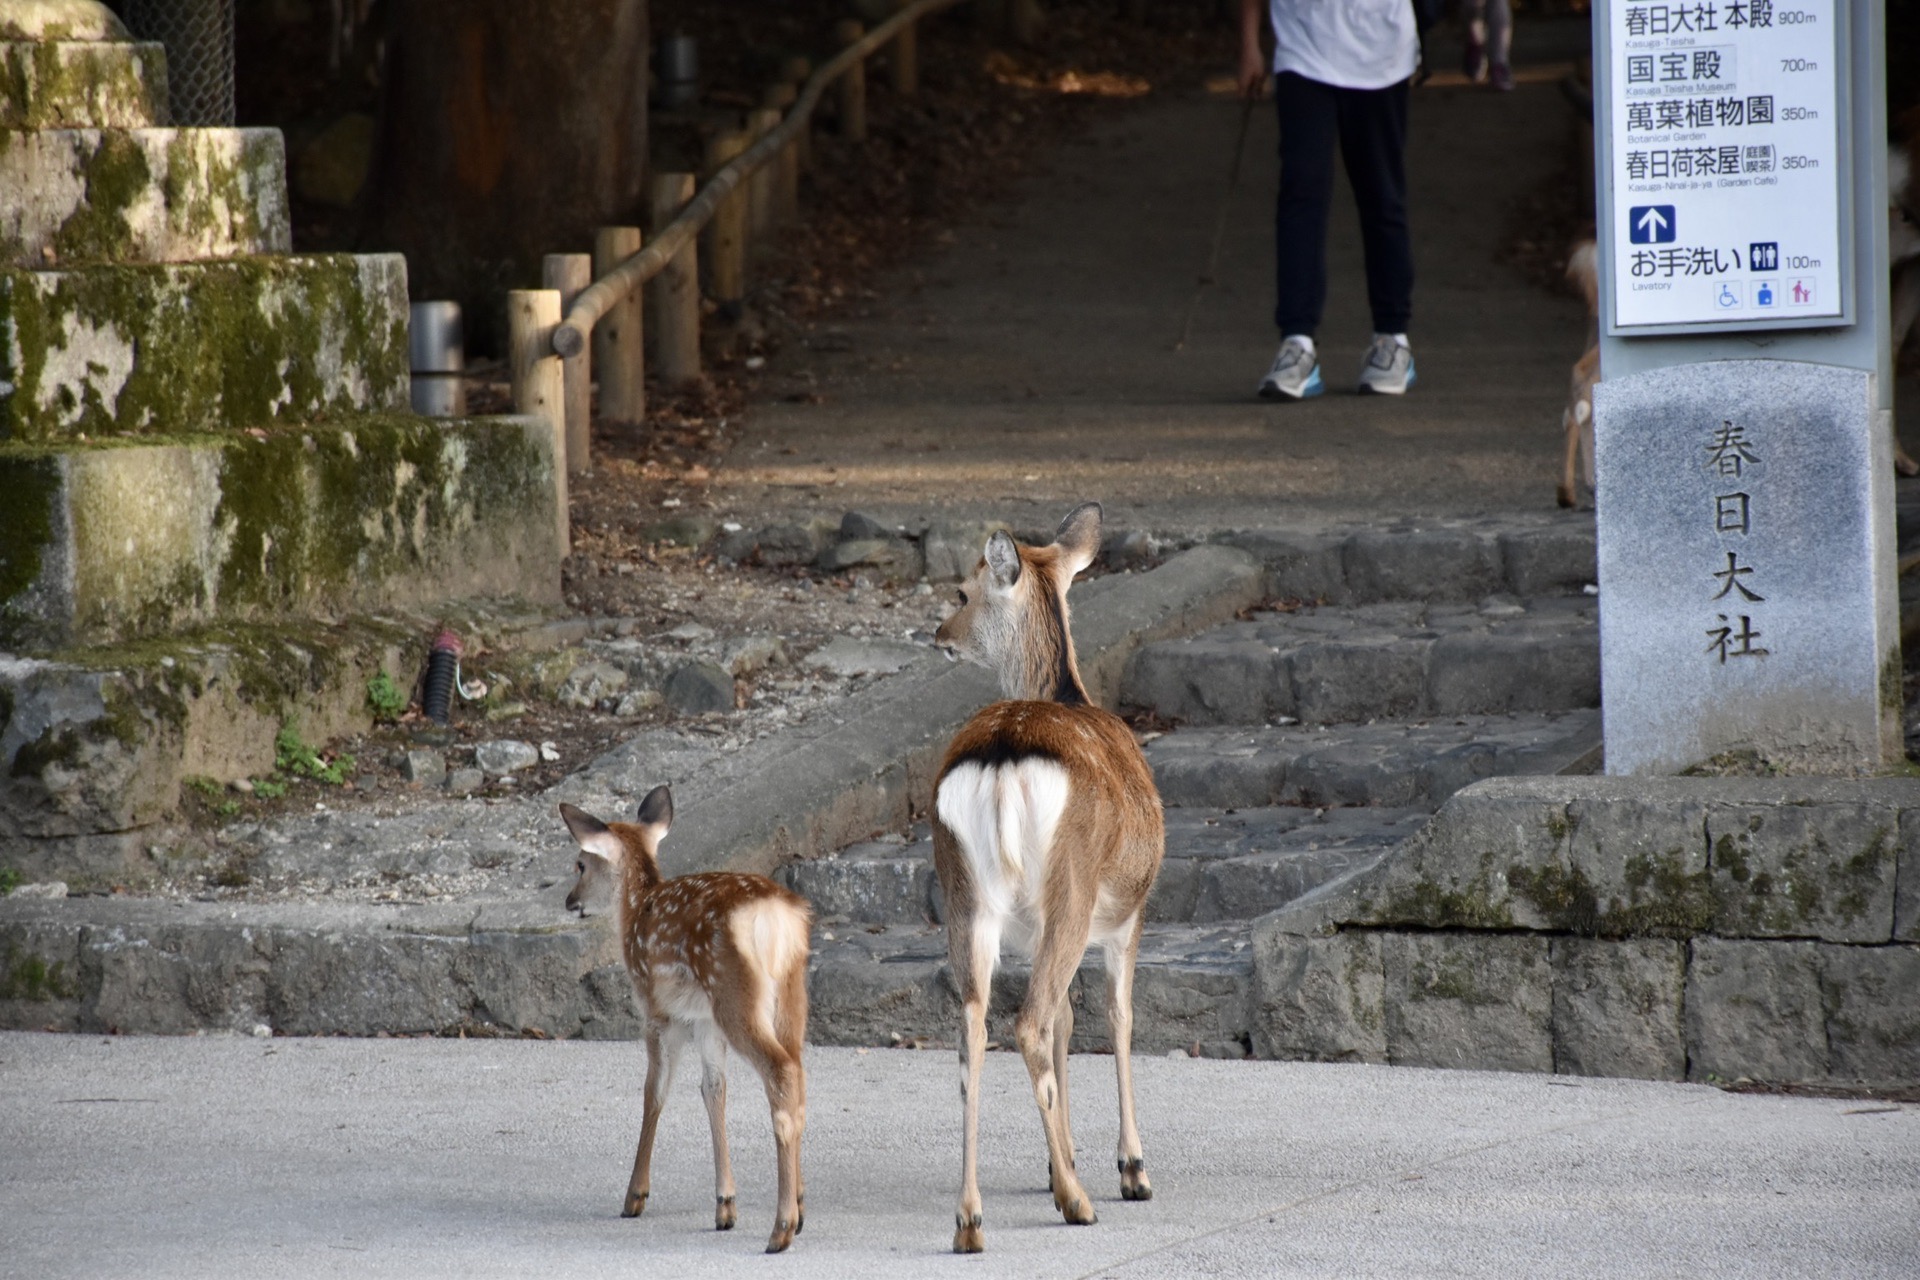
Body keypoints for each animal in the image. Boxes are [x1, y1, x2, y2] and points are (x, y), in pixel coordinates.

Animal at [560, 786, 817, 1258]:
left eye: (581, 864)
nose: (571, 902)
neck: (635, 912)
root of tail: (776, 919)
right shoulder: (704, 1021)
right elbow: (713, 1091)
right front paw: (725, 1205)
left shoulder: (657, 1012)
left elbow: (654, 1092)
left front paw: (635, 1195)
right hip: (789, 995)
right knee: (798, 1073)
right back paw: (800, 1206)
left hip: (735, 993)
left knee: (781, 1071)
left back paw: (781, 1227)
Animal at [933, 498, 1167, 1251]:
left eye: (962, 592)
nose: (938, 633)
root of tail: (1004, 754)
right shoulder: (1130, 914)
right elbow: (1118, 1016)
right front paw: (1130, 1168)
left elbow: (1072, 1021)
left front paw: (1057, 1157)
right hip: (1072, 885)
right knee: (1030, 1021)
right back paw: (1076, 1200)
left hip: (962, 894)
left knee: (972, 1030)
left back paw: (971, 1218)